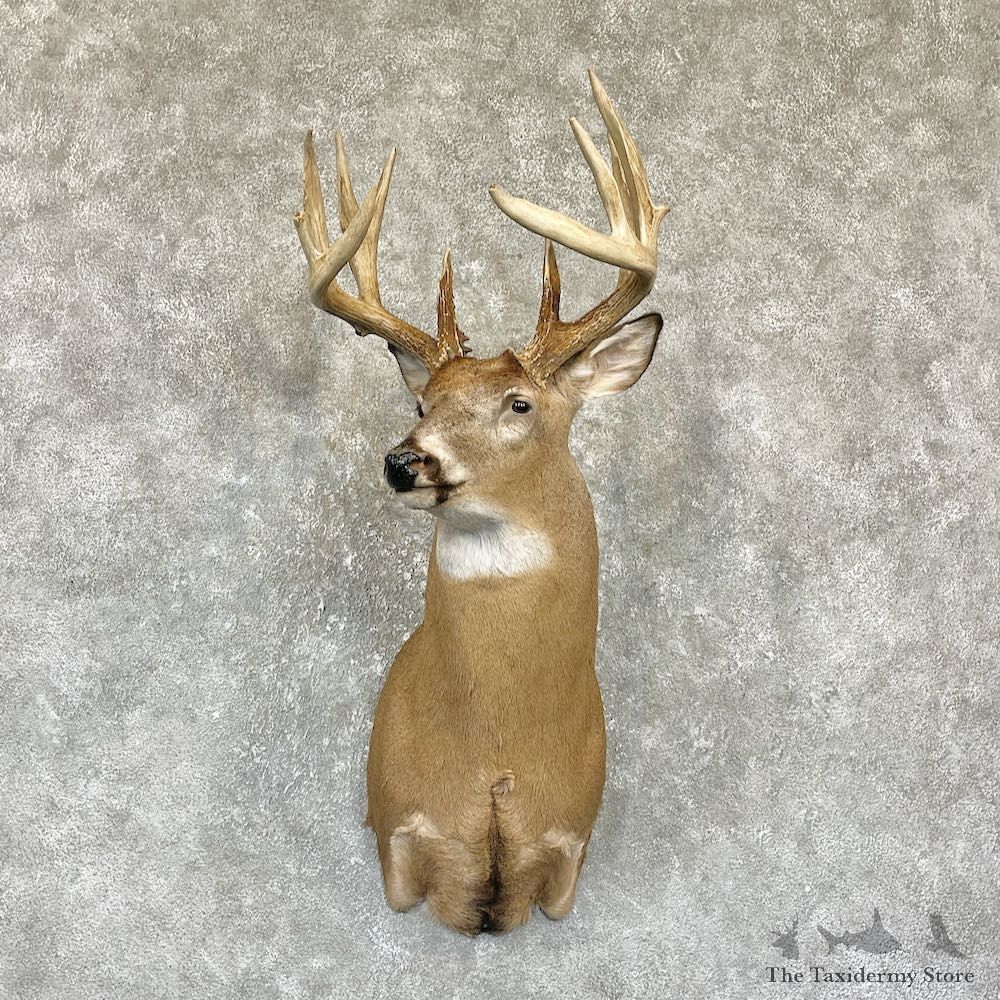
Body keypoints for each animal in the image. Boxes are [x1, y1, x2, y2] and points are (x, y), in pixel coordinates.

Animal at [293, 70, 668, 935]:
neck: (495, 756)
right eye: (422, 401)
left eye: (519, 404)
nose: (404, 460)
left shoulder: (569, 850)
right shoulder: (398, 831)